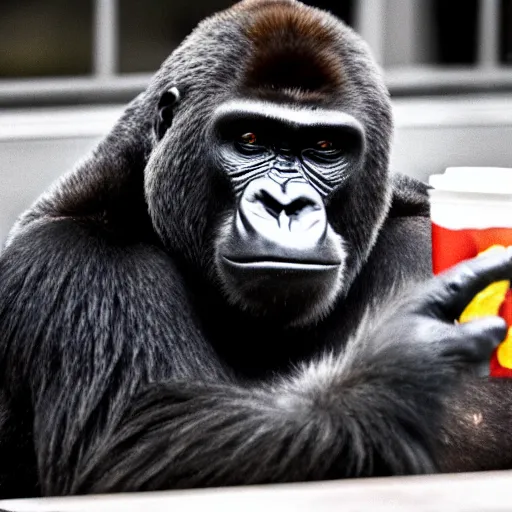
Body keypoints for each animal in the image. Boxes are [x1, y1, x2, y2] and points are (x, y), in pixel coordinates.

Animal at [1, 0, 512, 500]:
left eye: (324, 145)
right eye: (249, 139)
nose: (284, 205)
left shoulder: (417, 237)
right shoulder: (75, 259)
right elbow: (137, 437)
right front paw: (407, 368)